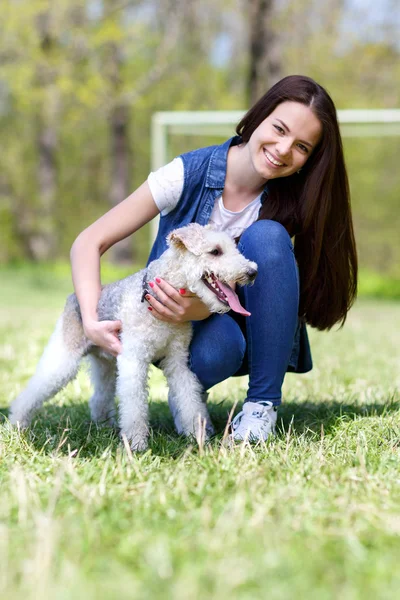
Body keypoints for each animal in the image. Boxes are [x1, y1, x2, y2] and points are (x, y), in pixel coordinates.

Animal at [11, 225, 260, 450]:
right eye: (215, 251)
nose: (252, 272)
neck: (154, 302)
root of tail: (74, 297)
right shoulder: (134, 360)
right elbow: (134, 406)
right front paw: (137, 444)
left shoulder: (177, 362)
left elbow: (189, 399)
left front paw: (198, 438)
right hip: (64, 359)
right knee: (31, 393)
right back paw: (16, 424)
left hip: (106, 365)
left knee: (99, 398)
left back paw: (105, 426)